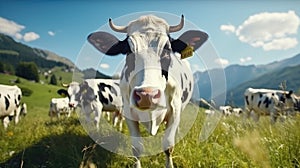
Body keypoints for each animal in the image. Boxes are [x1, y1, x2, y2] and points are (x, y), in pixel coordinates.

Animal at [87, 14, 209, 168]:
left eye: (167, 49)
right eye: (128, 51)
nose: (147, 95)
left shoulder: (175, 110)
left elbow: (168, 145)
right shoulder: (128, 112)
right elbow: (136, 148)